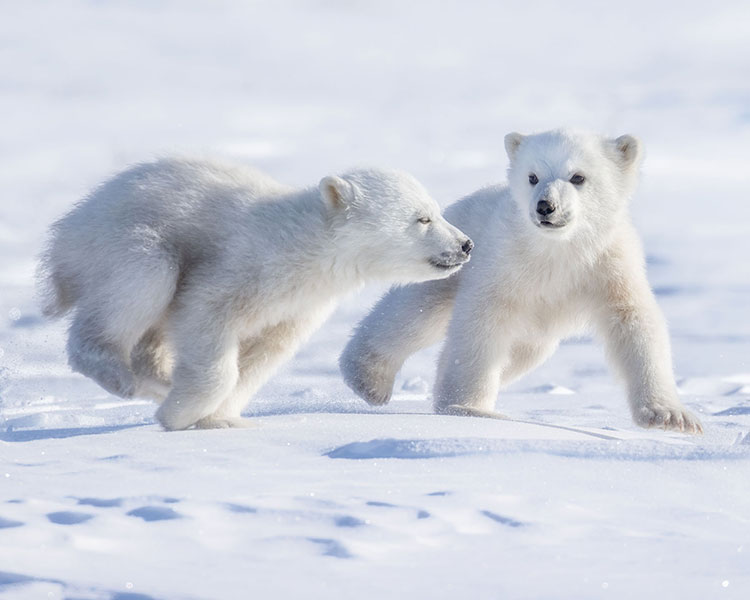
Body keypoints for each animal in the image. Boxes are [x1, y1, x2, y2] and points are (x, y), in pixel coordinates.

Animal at [38, 158, 473, 430]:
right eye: (422, 218)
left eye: (437, 210)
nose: (466, 244)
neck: (303, 245)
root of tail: (65, 231)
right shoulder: (242, 263)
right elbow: (206, 315)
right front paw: (178, 415)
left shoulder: (301, 306)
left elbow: (265, 356)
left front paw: (221, 418)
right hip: (124, 240)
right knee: (145, 278)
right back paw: (119, 375)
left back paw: (158, 380)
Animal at [340, 129, 703, 434]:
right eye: (533, 176)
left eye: (578, 177)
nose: (546, 206)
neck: (557, 251)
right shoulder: (504, 261)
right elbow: (482, 324)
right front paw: (468, 408)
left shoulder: (607, 266)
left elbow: (635, 324)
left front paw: (672, 417)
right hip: (448, 256)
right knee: (414, 312)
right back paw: (367, 378)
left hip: (537, 332)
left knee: (521, 354)